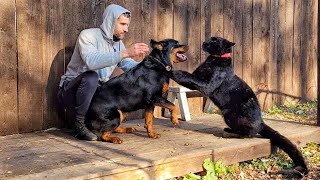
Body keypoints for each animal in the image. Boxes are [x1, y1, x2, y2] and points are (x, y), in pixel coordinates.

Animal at [171, 36, 308, 176]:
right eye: (209, 39)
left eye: (214, 40)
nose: (204, 42)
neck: (214, 58)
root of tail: (261, 122)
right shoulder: (198, 75)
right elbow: (190, 77)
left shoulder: (207, 85)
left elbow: (187, 76)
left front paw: (173, 71)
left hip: (230, 115)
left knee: (248, 134)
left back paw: (227, 133)